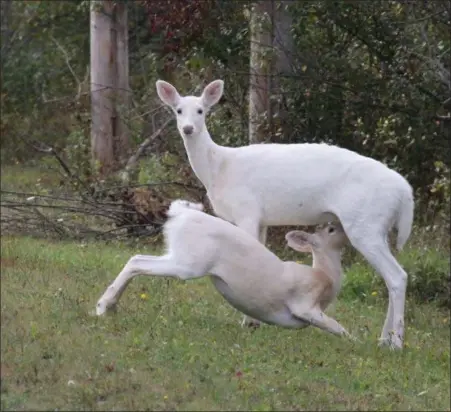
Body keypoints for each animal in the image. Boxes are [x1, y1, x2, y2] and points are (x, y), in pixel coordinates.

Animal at [156, 79, 416, 350]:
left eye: (201, 110)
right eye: (178, 110)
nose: (188, 128)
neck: (219, 167)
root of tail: (405, 193)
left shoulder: (246, 210)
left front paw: (249, 321)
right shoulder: (262, 219)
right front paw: (253, 320)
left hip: (365, 224)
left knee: (397, 276)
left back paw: (396, 343)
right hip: (378, 226)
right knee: (391, 277)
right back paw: (385, 339)